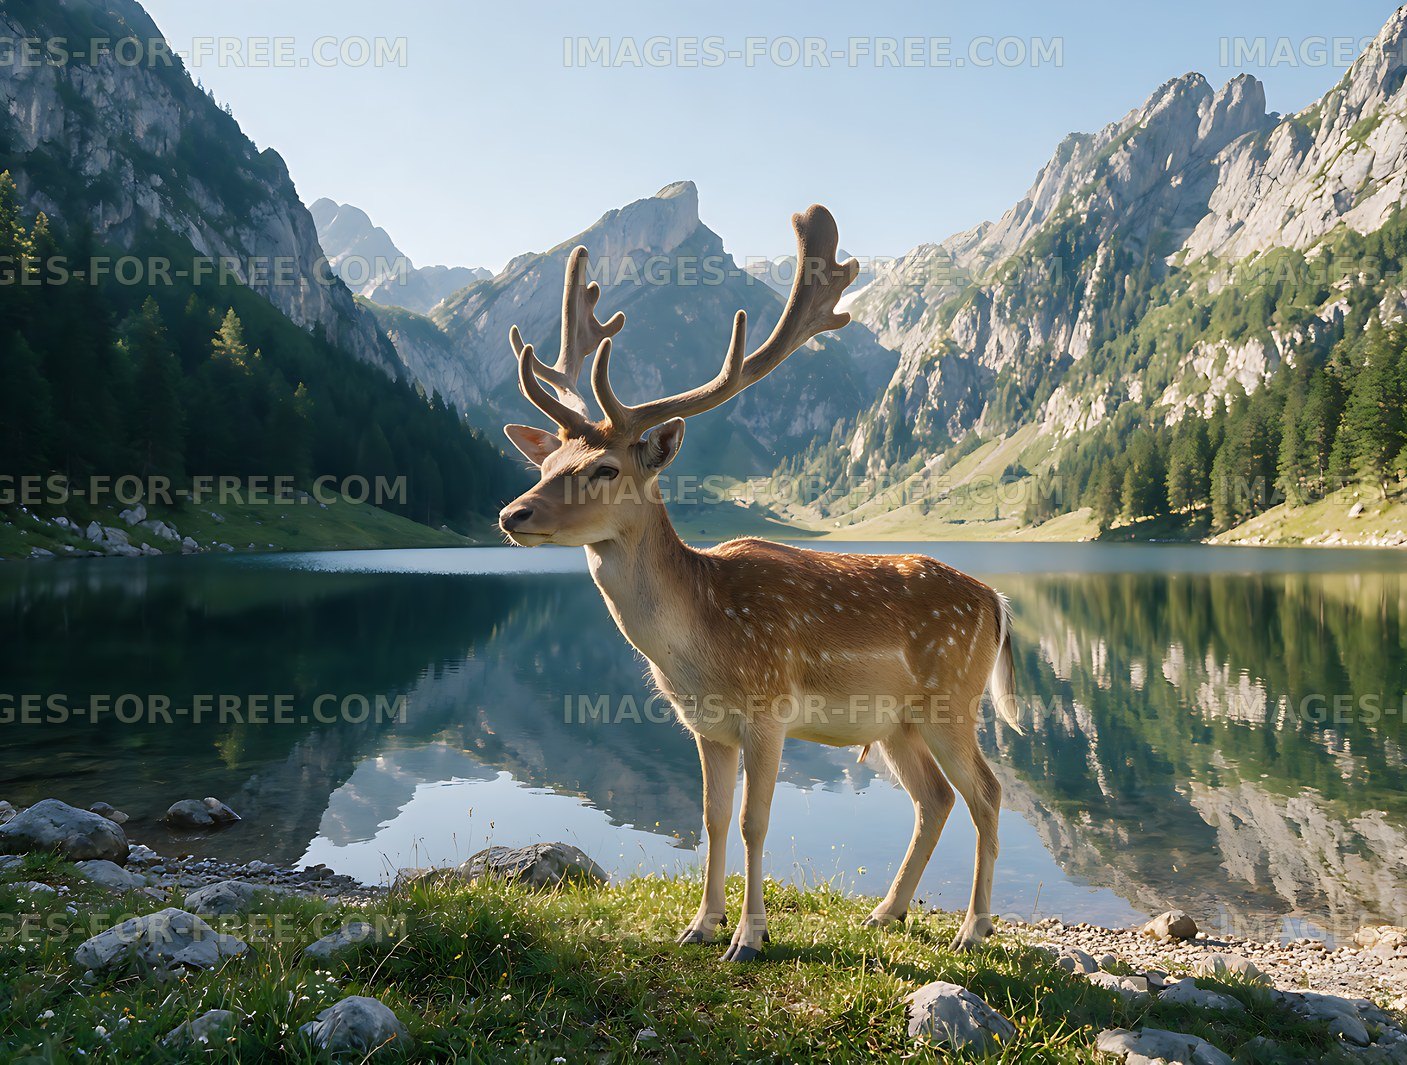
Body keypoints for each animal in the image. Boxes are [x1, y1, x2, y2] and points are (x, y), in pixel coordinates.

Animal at [498, 204, 1021, 962]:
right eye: (547, 462)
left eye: (604, 468)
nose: (512, 513)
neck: (700, 647)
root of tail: (996, 601)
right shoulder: (704, 725)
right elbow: (712, 819)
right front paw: (699, 924)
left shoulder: (769, 705)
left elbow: (754, 820)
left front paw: (749, 935)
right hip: (896, 720)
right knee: (935, 798)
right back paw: (886, 912)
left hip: (953, 696)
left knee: (986, 790)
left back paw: (973, 927)